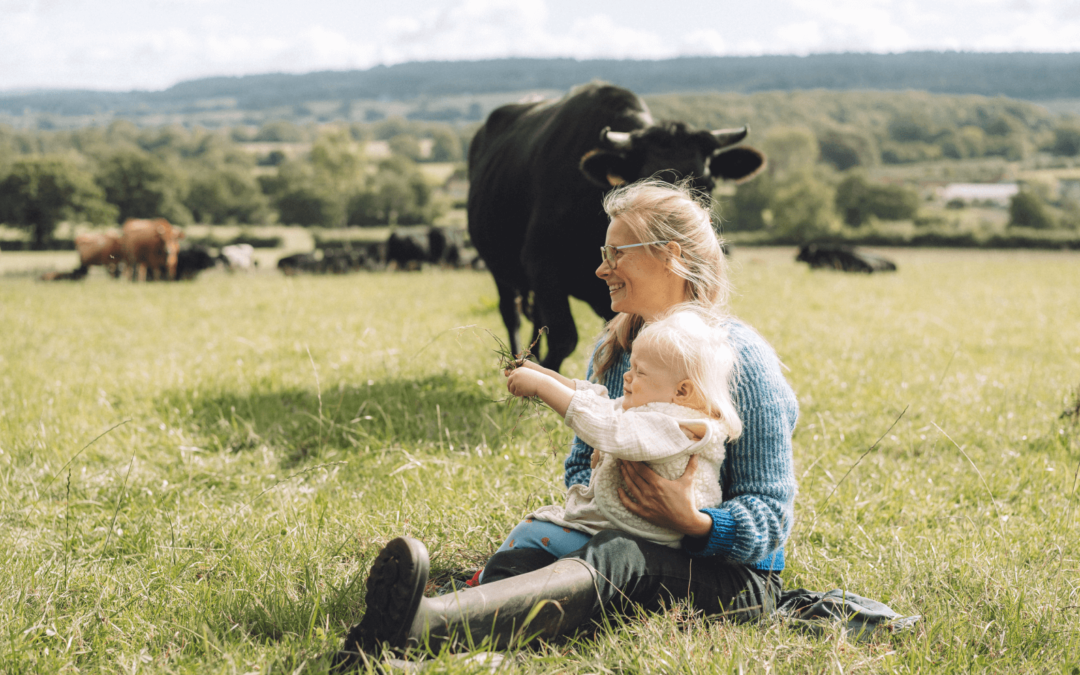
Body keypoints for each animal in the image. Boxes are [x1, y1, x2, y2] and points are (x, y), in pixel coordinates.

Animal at [468, 83, 764, 373]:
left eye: (708, 185)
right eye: (642, 182)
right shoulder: (541, 263)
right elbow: (564, 337)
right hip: (499, 270)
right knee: (512, 315)